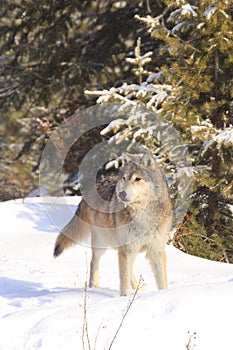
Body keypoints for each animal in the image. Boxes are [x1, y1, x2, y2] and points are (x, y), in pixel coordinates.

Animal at [53, 152, 172, 296]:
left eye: (138, 179)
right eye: (124, 178)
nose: (121, 193)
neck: (142, 216)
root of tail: (92, 187)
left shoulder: (156, 250)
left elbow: (162, 282)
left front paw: (163, 294)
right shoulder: (125, 249)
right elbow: (123, 280)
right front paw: (125, 297)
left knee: (130, 269)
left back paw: (139, 289)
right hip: (102, 245)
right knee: (93, 264)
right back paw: (94, 288)